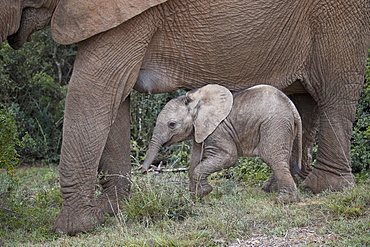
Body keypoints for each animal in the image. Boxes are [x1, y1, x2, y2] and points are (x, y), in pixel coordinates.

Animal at [142, 84, 300, 202]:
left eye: (172, 125)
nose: (143, 171)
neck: (196, 101)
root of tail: (292, 107)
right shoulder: (200, 130)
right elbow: (194, 161)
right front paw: (195, 197)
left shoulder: (218, 130)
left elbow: (228, 157)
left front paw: (204, 192)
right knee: (284, 157)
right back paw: (269, 189)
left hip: (275, 124)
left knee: (272, 157)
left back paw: (283, 199)